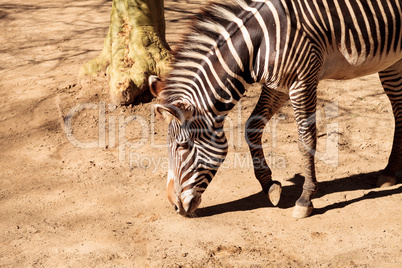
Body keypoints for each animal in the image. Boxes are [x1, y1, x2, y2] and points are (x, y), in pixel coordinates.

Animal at [151, 0, 402, 218]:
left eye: (182, 146)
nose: (175, 206)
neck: (258, 44)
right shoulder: (277, 85)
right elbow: (251, 127)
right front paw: (269, 186)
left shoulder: (303, 81)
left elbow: (306, 140)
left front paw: (305, 199)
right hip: (394, 62)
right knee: (398, 110)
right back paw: (390, 172)